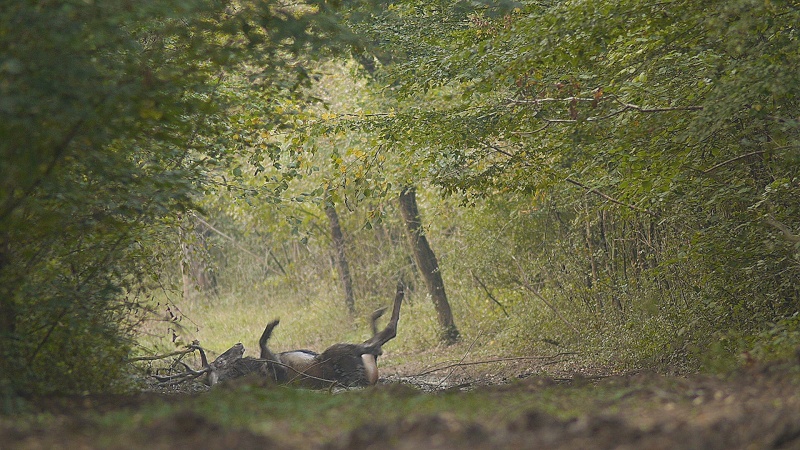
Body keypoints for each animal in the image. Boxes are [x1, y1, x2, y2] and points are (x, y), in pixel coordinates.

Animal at [155, 284, 404, 386]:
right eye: (221, 360)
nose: (238, 344)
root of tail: (368, 378)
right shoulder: (277, 364)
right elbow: (262, 340)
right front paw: (273, 322)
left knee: (376, 343)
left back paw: (378, 312)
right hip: (341, 350)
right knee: (383, 337)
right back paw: (398, 293)